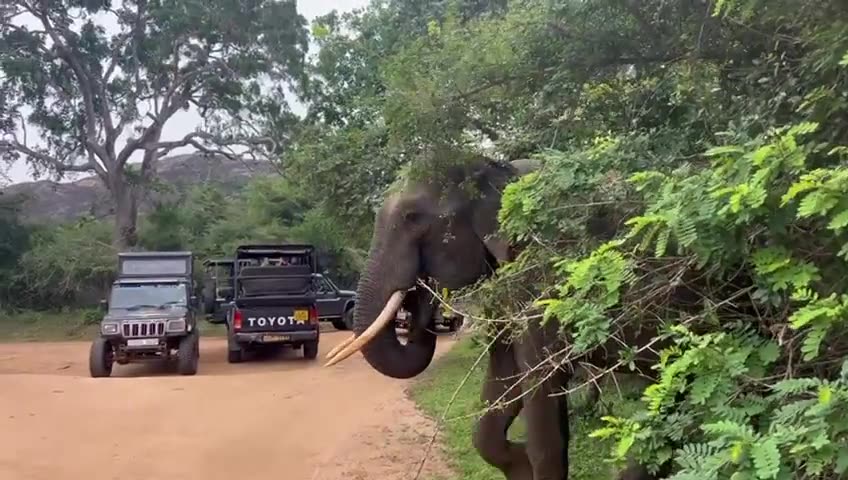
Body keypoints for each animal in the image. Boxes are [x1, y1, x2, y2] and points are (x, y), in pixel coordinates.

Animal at [325, 155, 661, 480]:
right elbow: (504, 373)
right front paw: (520, 468)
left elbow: (542, 378)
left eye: (412, 217)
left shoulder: (545, 276)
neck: (493, 167)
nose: (419, 297)